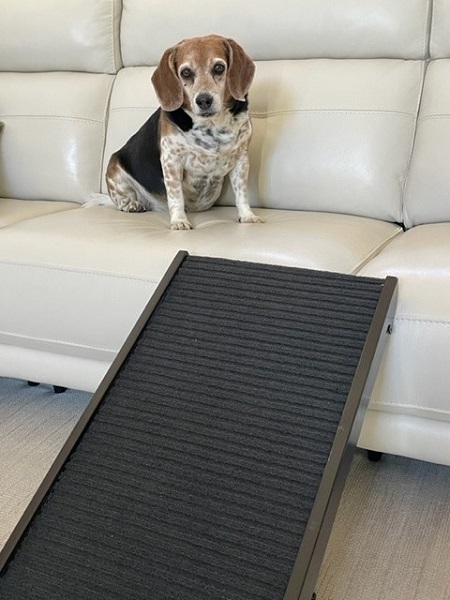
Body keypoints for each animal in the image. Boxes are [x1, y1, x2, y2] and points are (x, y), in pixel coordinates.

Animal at [93, 34, 262, 230]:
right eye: (186, 72)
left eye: (219, 67)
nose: (204, 100)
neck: (211, 126)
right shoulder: (171, 161)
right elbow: (176, 196)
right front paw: (179, 221)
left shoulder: (241, 159)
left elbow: (241, 194)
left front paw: (247, 215)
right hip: (114, 169)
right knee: (120, 198)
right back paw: (132, 204)